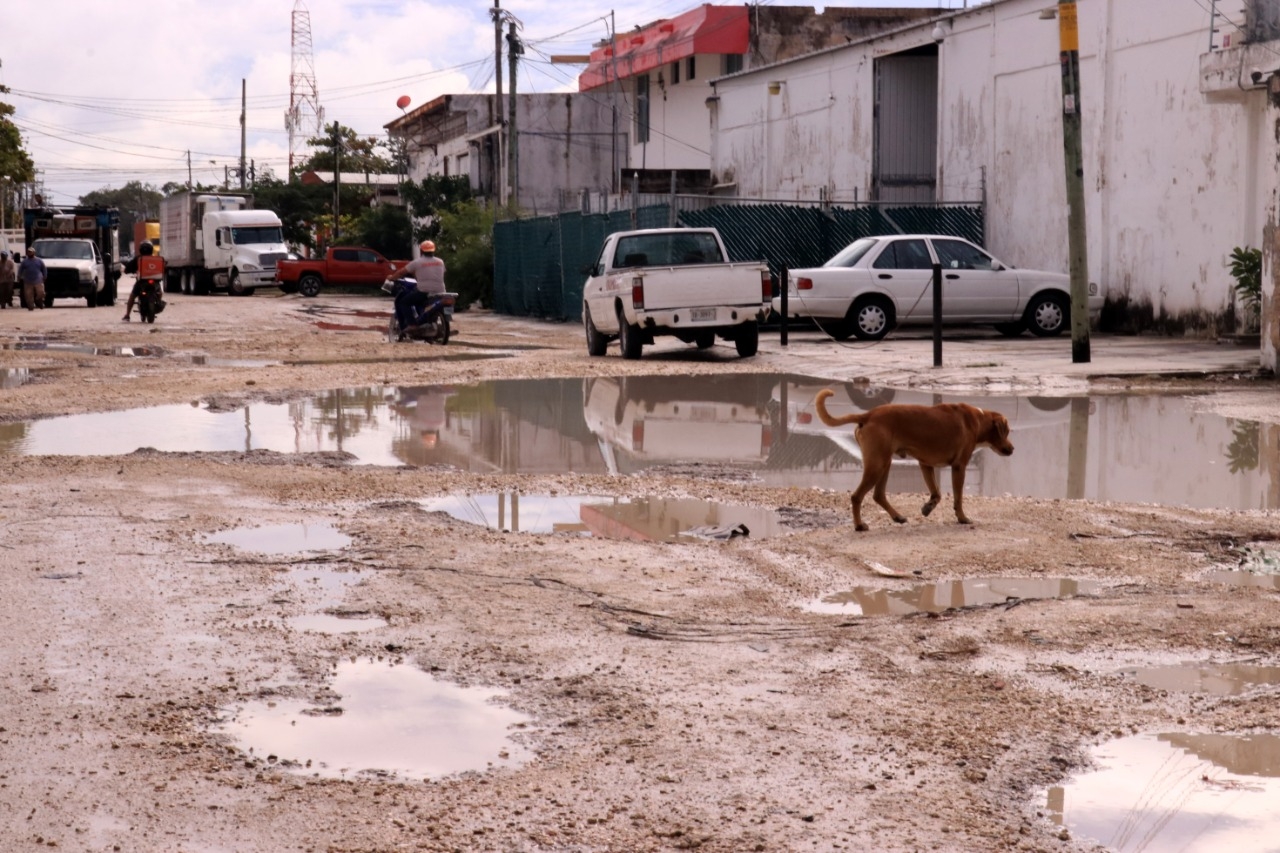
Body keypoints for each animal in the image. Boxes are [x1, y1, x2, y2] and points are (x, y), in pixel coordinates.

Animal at [814, 389, 1013, 527]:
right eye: (1007, 431)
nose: (1012, 449)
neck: (979, 419)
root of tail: (868, 414)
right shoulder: (959, 467)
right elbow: (958, 497)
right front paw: (962, 518)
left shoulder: (925, 465)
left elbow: (937, 493)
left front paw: (928, 507)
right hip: (877, 465)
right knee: (856, 496)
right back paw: (859, 525)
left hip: (884, 463)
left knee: (878, 495)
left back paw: (897, 516)